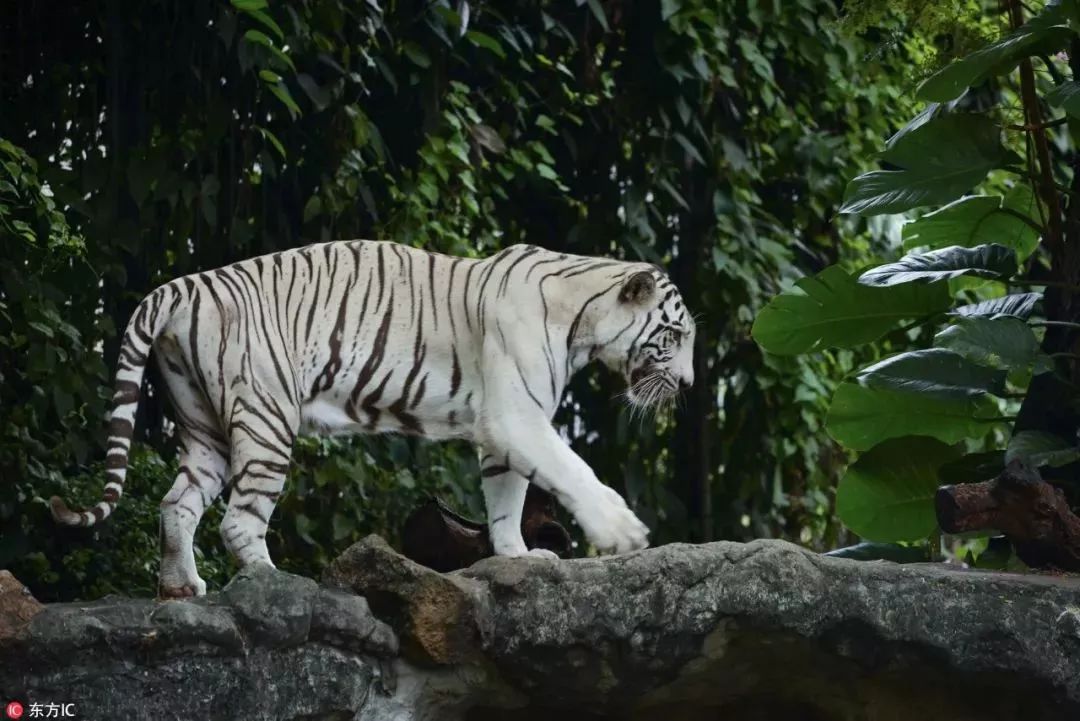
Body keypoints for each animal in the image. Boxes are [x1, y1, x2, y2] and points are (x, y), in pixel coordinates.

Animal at [52, 241, 691, 595]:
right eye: (675, 336)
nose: (686, 384)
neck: (584, 319)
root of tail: (183, 285)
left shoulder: (502, 427)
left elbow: (506, 498)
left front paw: (514, 556)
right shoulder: (517, 416)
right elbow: (570, 469)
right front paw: (623, 532)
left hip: (204, 424)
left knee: (176, 505)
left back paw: (182, 587)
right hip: (265, 417)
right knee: (238, 520)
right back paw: (275, 582)